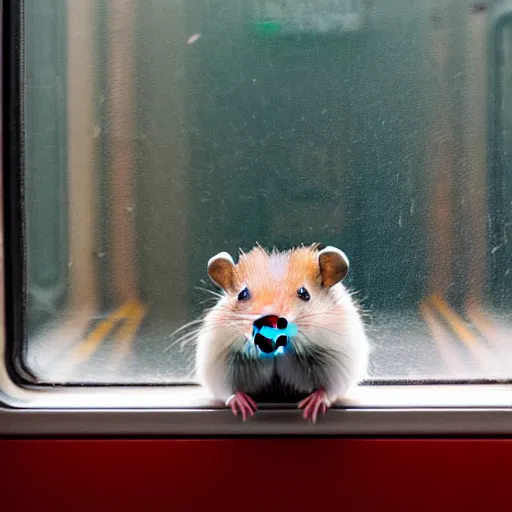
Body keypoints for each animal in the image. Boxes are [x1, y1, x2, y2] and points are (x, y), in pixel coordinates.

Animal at [195, 244, 368, 424]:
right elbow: (227, 390)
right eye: (242, 294)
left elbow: (330, 389)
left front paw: (310, 410)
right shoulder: (218, 360)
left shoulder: (340, 359)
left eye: (304, 293)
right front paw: (244, 408)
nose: (269, 322)